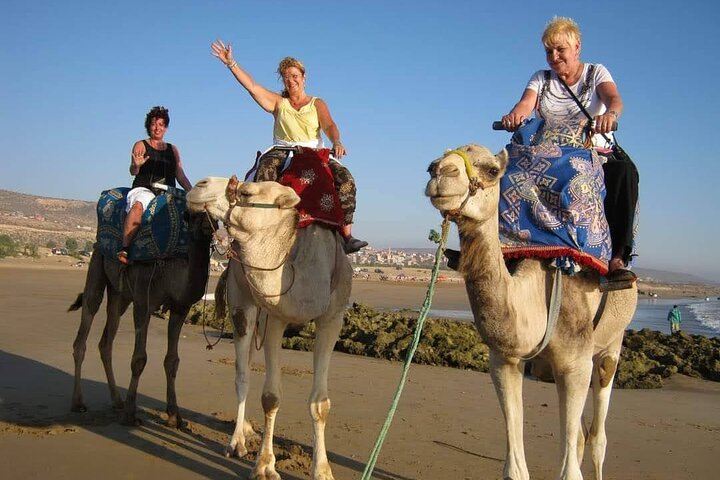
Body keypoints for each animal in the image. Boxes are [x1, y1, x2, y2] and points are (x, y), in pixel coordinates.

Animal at [69, 213, 213, 427]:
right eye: (194, 214)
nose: (207, 226)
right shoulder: (143, 303)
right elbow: (139, 359)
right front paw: (130, 413)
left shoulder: (180, 309)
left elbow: (172, 360)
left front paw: (174, 415)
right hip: (97, 262)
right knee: (87, 320)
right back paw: (78, 403)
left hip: (120, 295)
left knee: (106, 341)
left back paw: (117, 400)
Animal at [186, 177, 352, 480]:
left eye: (246, 192)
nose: (199, 185)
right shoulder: (276, 318)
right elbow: (271, 396)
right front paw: (264, 465)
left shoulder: (332, 318)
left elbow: (320, 403)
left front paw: (322, 470)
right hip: (241, 303)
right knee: (242, 375)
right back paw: (237, 442)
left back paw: (248, 431)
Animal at [425, 145, 637, 480]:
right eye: (435, 162)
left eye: (491, 170)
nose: (439, 171)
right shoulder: (505, 362)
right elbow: (515, 469)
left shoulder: (576, 364)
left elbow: (572, 470)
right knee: (581, 437)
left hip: (611, 345)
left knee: (597, 436)